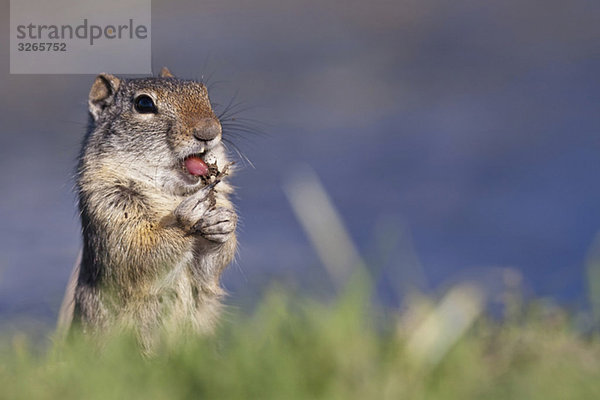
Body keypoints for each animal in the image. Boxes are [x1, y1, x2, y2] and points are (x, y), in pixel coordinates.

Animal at [57, 67, 238, 348]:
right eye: (144, 104)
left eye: (203, 92)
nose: (209, 131)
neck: (172, 193)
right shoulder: (111, 209)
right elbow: (140, 252)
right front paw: (187, 219)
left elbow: (208, 271)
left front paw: (223, 224)